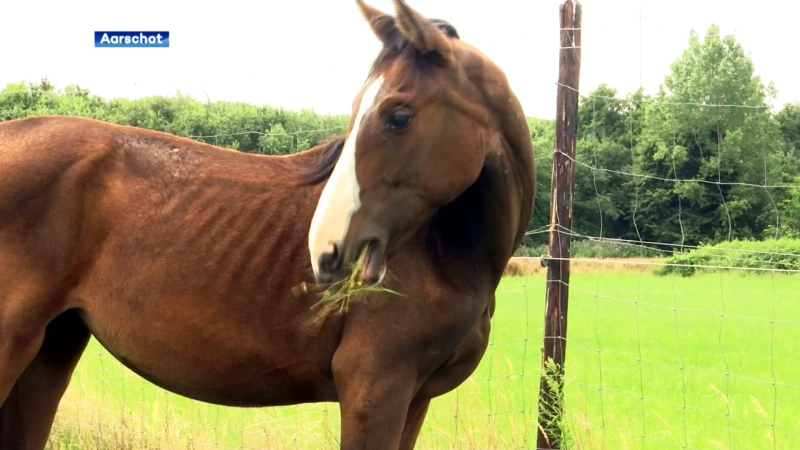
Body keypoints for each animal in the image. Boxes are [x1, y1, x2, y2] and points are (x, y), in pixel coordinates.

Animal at [1, 0, 536, 450]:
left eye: (398, 116)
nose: (324, 249)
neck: (448, 254)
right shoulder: (375, 392)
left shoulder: (415, 399)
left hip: (51, 348)